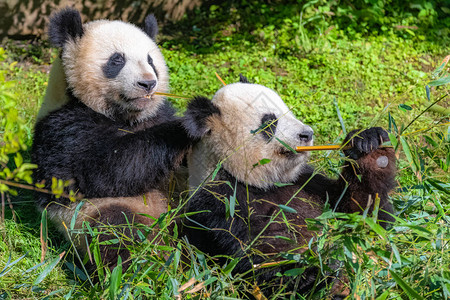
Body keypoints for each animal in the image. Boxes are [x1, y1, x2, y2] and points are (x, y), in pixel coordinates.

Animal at [31, 8, 192, 268]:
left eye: (150, 60)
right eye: (117, 60)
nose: (148, 83)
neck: (125, 115)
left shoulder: (157, 114)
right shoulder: (64, 130)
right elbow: (109, 170)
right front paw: (190, 123)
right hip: (94, 213)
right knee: (117, 232)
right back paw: (146, 266)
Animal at [181, 76, 396, 296]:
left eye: (288, 111)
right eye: (270, 123)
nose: (307, 134)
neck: (261, 183)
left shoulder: (306, 181)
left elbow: (362, 216)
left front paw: (368, 145)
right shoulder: (220, 205)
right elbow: (257, 264)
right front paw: (321, 270)